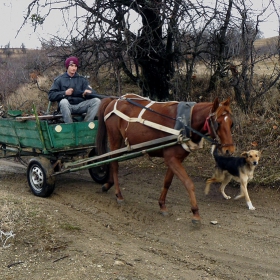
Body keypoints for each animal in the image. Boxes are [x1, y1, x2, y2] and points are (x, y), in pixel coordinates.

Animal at [95, 93, 234, 224]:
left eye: (231, 124)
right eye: (218, 123)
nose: (229, 150)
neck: (185, 122)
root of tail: (115, 99)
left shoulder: (175, 159)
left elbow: (167, 182)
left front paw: (162, 205)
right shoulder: (171, 159)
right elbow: (188, 183)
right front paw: (195, 213)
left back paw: (108, 185)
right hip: (114, 139)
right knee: (114, 164)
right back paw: (118, 194)